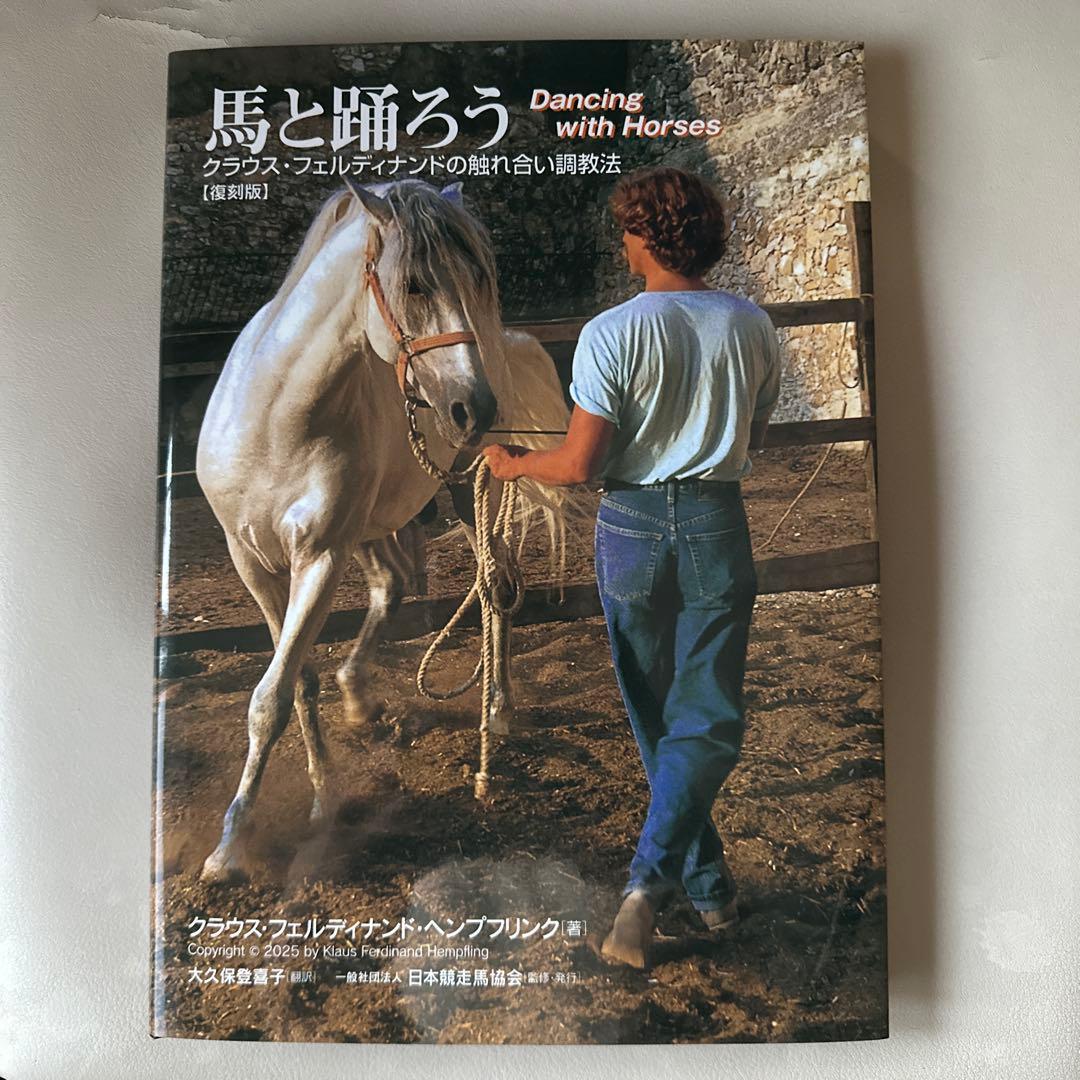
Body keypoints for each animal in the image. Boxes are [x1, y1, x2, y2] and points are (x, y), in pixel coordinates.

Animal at [194, 177, 580, 883]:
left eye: (478, 279)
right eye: (415, 285)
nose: (473, 407)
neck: (277, 421)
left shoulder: (321, 558)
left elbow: (270, 698)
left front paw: (232, 846)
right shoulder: (253, 563)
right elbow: (295, 682)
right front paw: (320, 796)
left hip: (469, 495)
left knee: (496, 586)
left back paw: (497, 713)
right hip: (386, 524)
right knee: (396, 588)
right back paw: (363, 697)